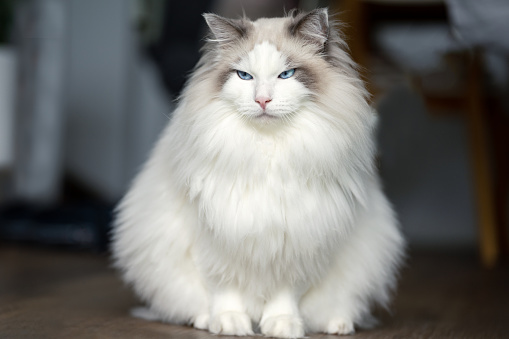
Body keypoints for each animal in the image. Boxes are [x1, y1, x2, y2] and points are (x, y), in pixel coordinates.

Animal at [112, 7, 404, 338]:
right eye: (244, 76)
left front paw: (282, 326)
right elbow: (225, 290)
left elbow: (284, 296)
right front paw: (229, 323)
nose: (262, 100)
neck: (267, 152)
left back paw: (337, 324)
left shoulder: (296, 244)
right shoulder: (214, 243)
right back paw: (206, 320)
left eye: (286, 75)